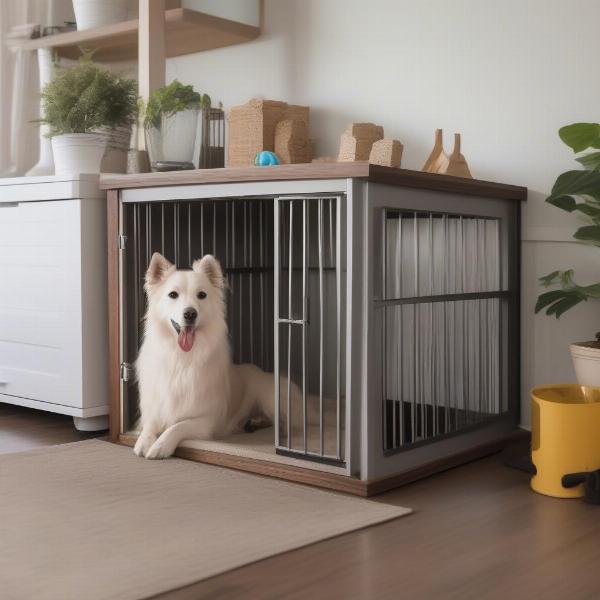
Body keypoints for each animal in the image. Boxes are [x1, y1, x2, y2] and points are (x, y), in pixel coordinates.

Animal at [133, 253, 274, 460]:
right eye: (173, 295)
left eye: (202, 295)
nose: (190, 313)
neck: (181, 358)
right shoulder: (153, 408)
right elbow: (149, 424)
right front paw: (144, 441)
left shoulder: (207, 420)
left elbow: (178, 426)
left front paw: (160, 445)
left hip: (270, 398)